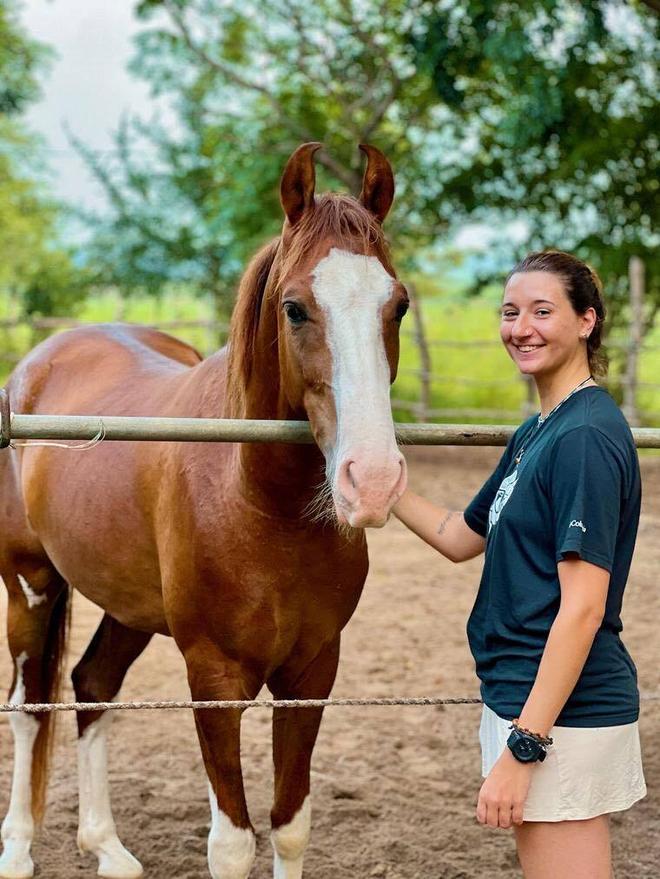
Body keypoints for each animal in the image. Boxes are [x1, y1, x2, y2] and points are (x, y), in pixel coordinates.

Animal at [0, 142, 409, 879]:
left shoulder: (311, 673)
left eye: (398, 305)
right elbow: (233, 843)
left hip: (130, 605)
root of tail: (35, 364)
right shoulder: (215, 679)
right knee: (28, 705)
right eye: (295, 308)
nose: (374, 479)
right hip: (30, 585)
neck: (267, 508)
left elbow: (290, 826)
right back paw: (17, 846)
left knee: (92, 684)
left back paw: (107, 847)